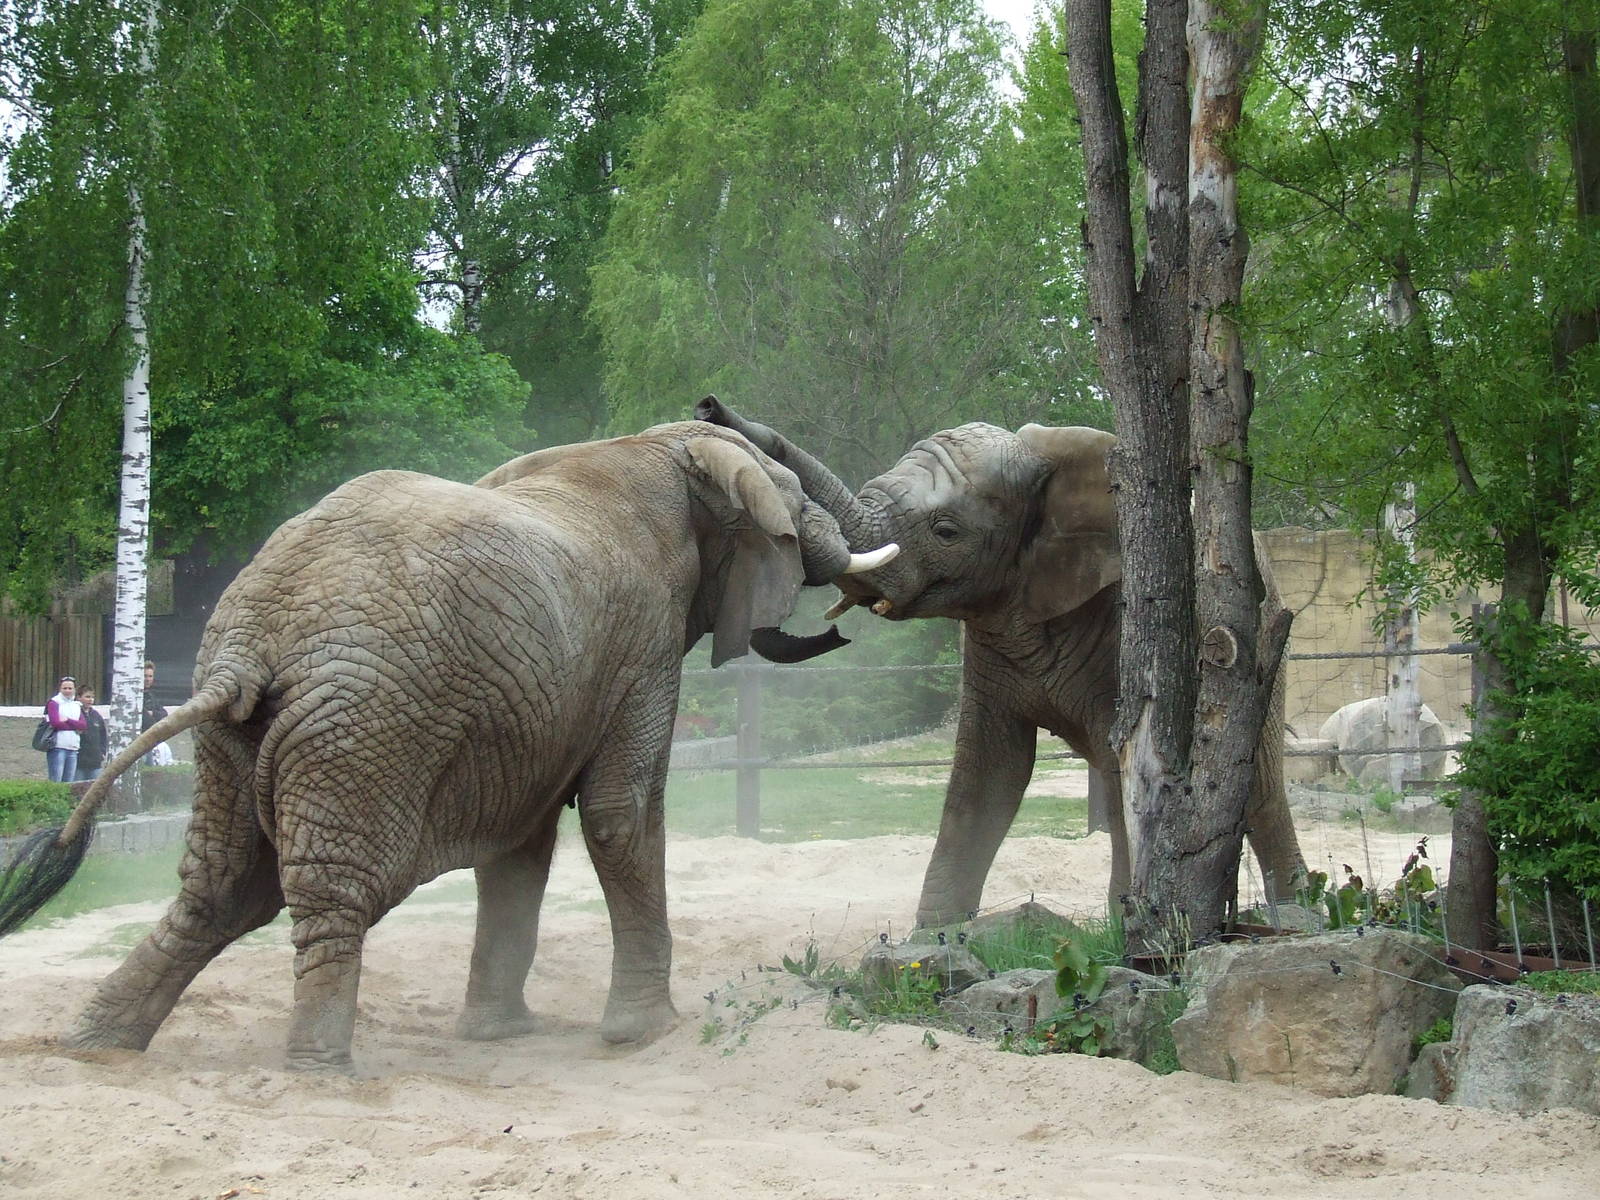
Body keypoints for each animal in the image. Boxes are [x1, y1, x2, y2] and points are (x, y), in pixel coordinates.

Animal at [0, 420, 897, 1071]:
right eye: (795, 509)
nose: (846, 622)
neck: (661, 444)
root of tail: (248, 644)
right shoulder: (642, 639)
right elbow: (621, 811)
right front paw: (646, 1034)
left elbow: (520, 847)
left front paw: (499, 1036)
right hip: (365, 730)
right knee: (333, 890)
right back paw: (317, 1068)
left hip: (244, 739)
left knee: (219, 888)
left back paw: (97, 1046)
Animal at [695, 398, 1307, 929]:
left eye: (946, 530)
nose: (709, 407)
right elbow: (989, 769)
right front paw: (934, 938)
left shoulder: (1122, 624)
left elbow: (1122, 769)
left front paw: (1129, 928)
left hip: (1254, 644)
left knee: (1256, 787)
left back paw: (1295, 911)